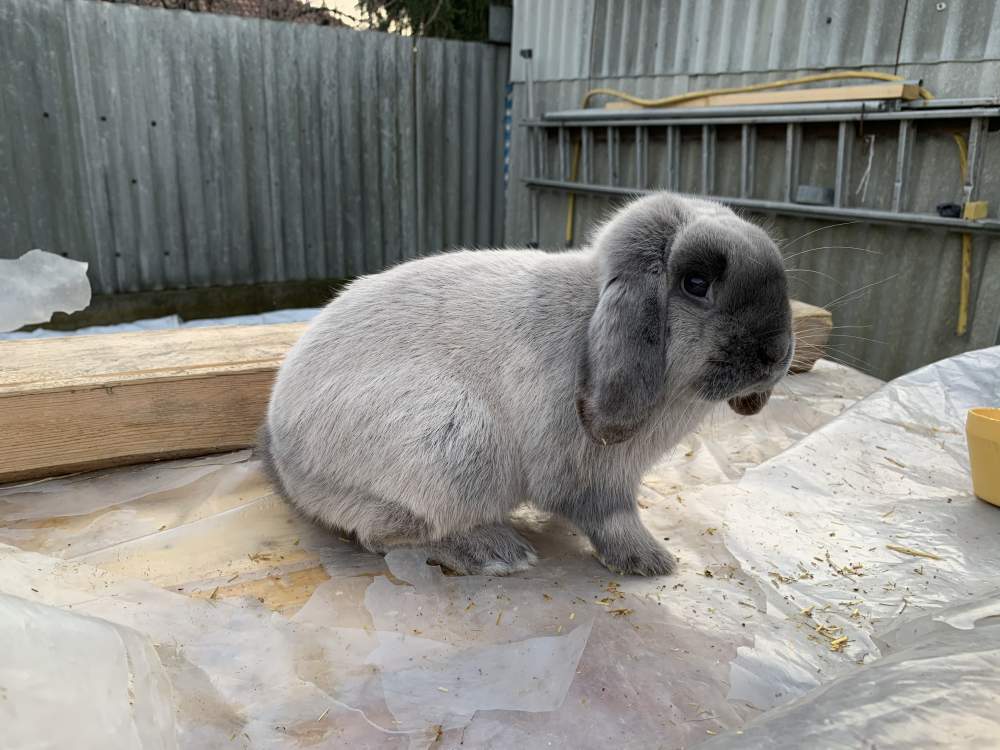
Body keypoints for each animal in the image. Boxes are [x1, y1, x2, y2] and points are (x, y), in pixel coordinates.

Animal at [262, 192, 792, 576]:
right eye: (696, 284)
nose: (776, 354)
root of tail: (287, 462)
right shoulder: (593, 477)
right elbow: (611, 519)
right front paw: (651, 561)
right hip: (453, 441)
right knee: (386, 534)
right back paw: (495, 552)